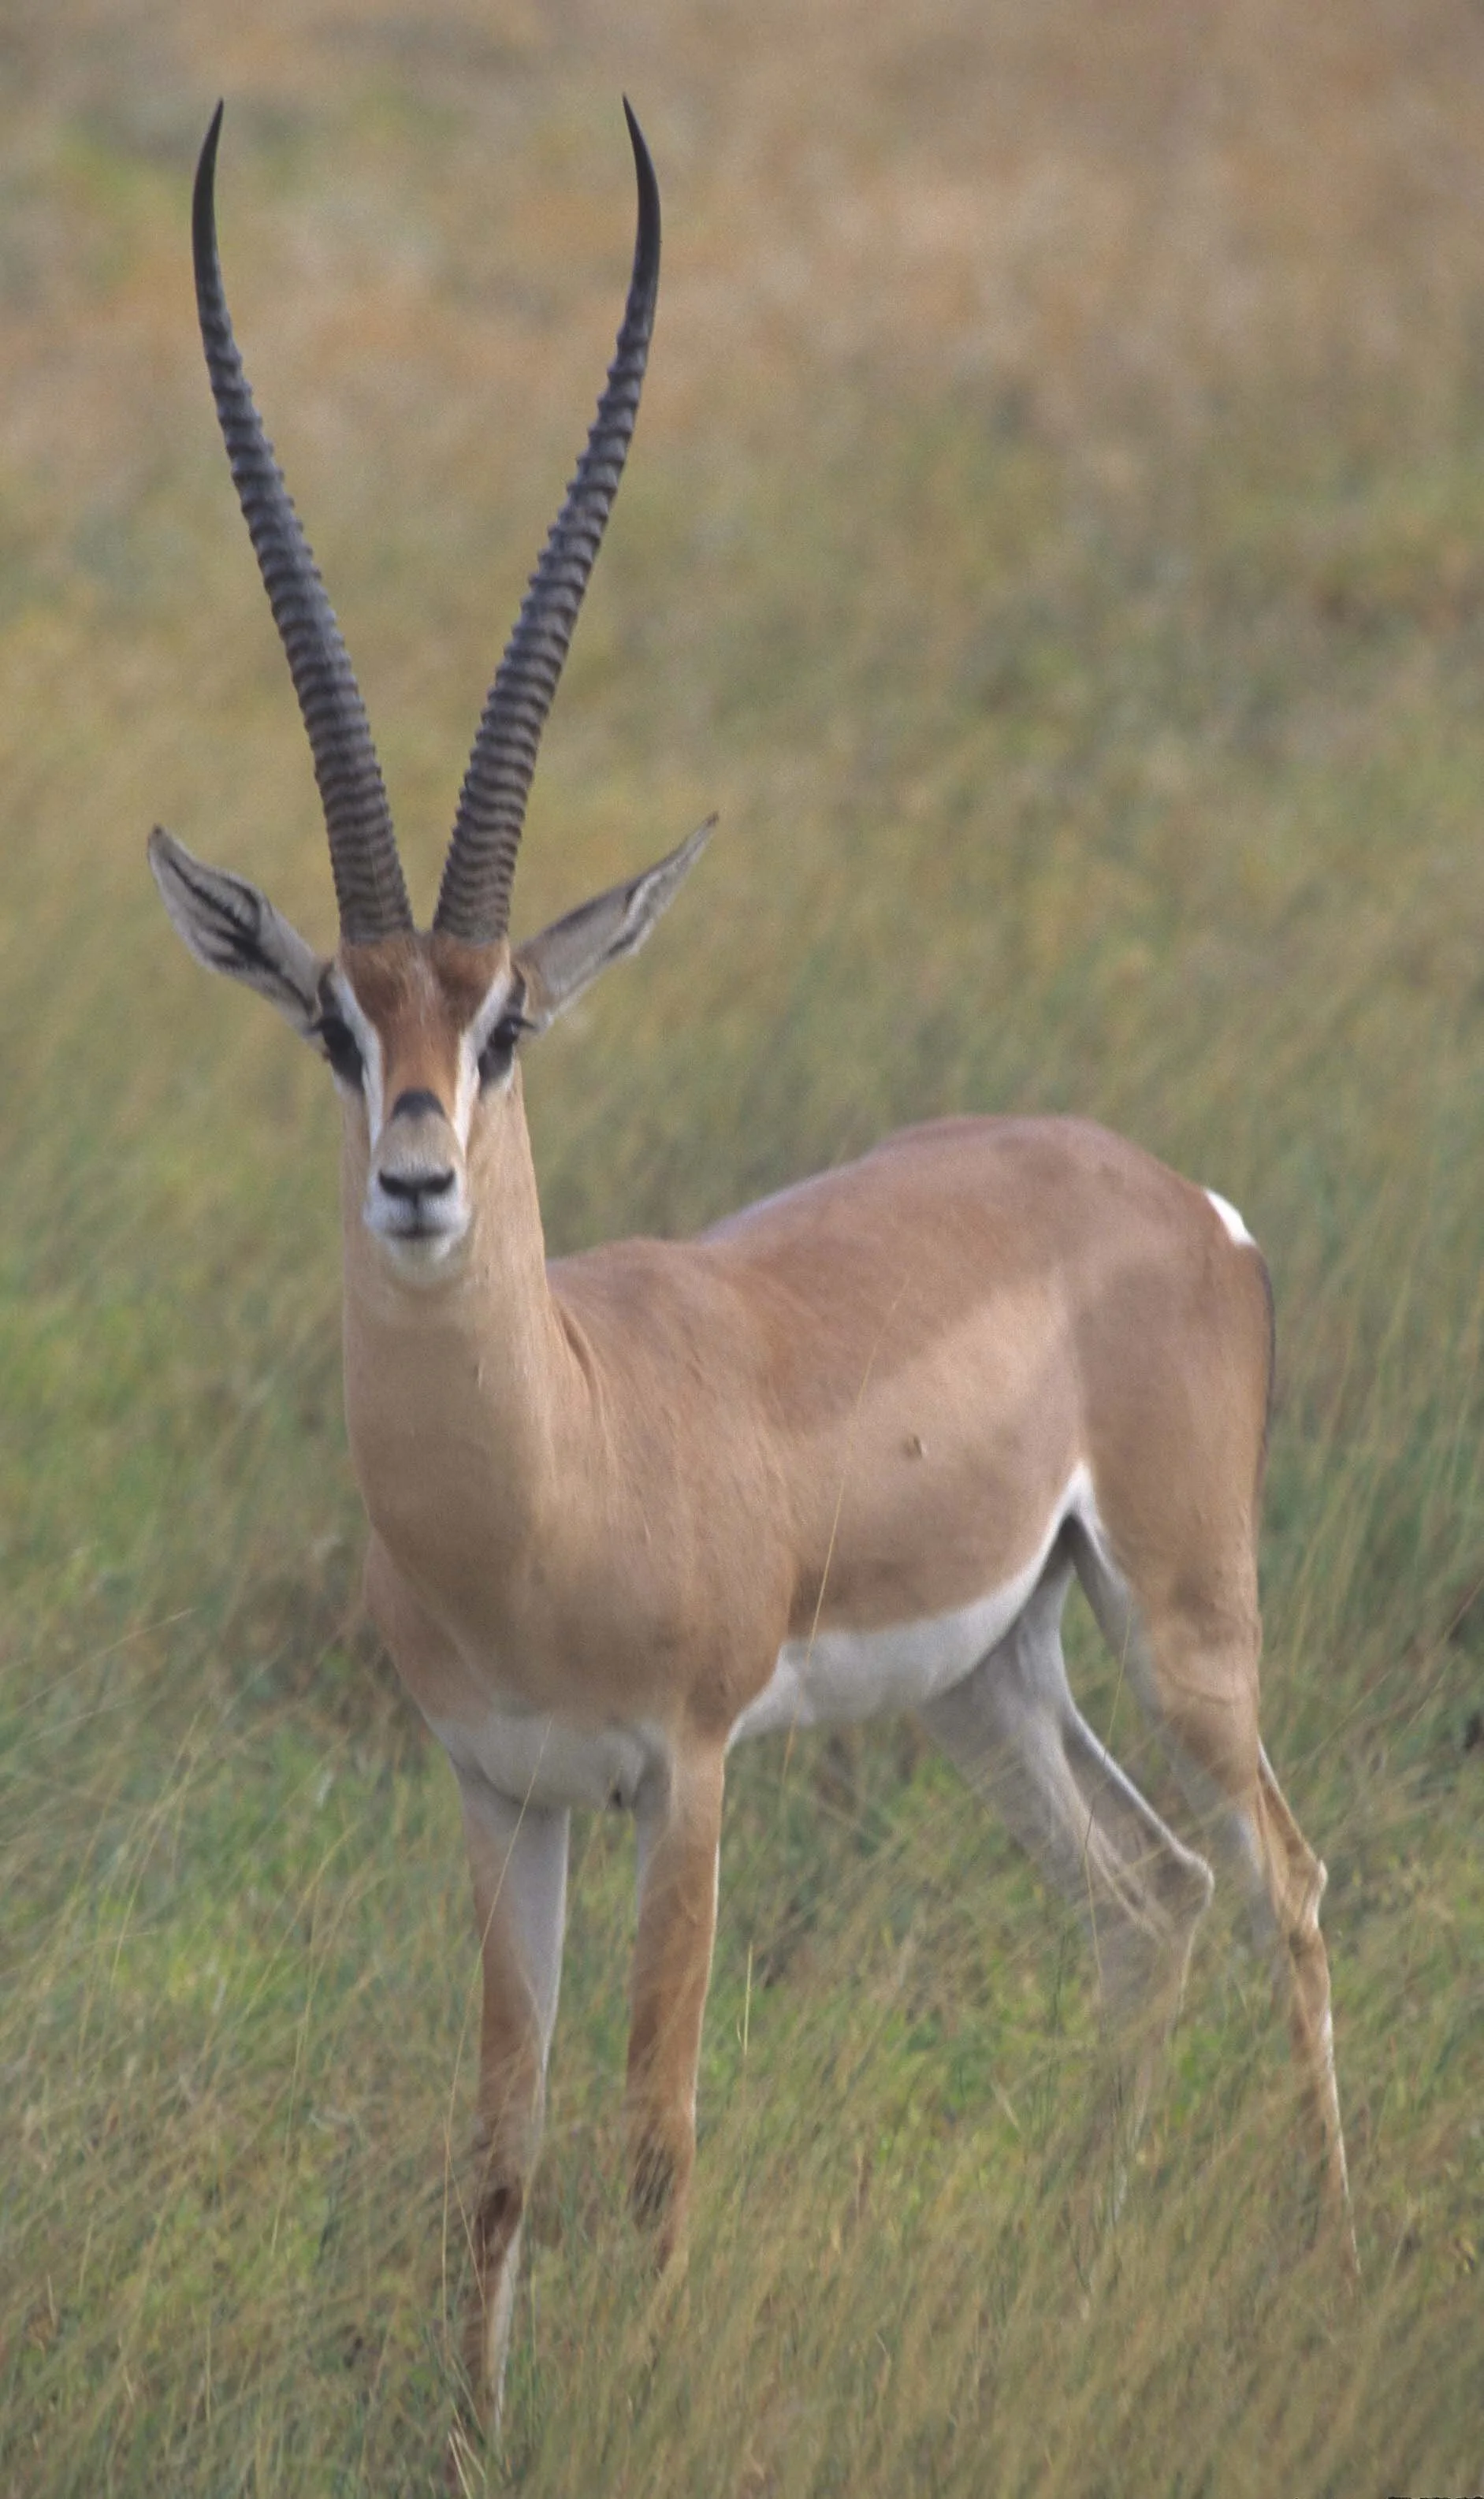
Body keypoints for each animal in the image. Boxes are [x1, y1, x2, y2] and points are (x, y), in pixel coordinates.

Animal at [151, 101, 1353, 2420]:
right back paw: (1086, 2265)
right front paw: (478, 2434)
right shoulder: (499, 1792)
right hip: (996, 1671)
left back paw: (1333, 2264)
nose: (418, 1181)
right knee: (1143, 1898)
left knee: (1286, 1879)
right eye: (335, 1023)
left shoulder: (683, 1777)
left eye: (510, 1019)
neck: (556, 1462)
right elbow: (501, 2148)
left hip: (1183, 1618)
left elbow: (654, 2127)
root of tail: (1173, 1194)